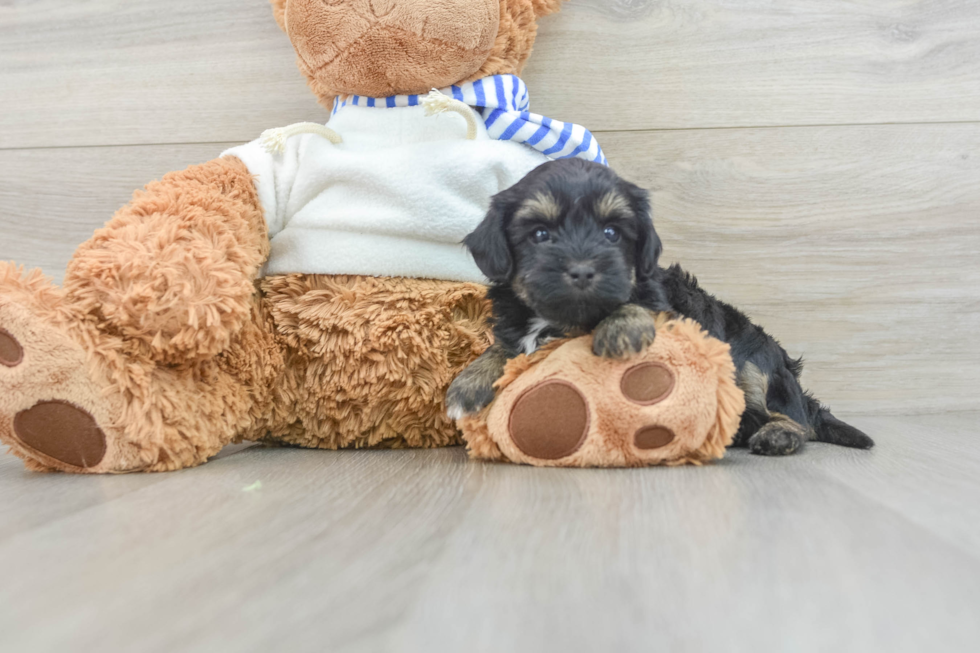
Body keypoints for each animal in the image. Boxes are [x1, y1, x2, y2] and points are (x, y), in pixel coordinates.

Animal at [446, 158, 872, 454]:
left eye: (611, 233)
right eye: (539, 234)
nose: (582, 270)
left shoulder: (672, 312)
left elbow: (640, 306)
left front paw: (621, 328)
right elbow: (506, 345)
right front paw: (470, 382)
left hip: (756, 363)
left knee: (796, 417)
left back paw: (779, 434)